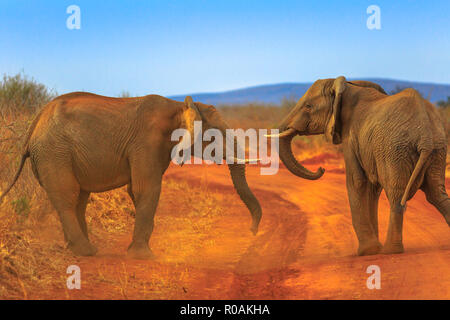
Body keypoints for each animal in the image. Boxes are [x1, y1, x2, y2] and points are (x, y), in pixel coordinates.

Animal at [0, 92, 262, 258]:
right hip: (54, 152)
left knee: (79, 199)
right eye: (215, 134)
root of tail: (34, 125)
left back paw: (78, 249)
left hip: (55, 154)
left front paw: (136, 250)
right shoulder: (147, 142)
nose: (252, 232)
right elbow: (147, 188)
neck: (179, 106)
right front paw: (143, 256)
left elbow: (136, 190)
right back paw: (86, 251)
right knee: (68, 197)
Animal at [270, 76, 450, 256]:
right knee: (436, 193)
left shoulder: (350, 138)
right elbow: (372, 188)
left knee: (397, 196)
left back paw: (390, 250)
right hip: (436, 149)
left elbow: (356, 181)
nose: (321, 169)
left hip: (395, 150)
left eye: (308, 106)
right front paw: (374, 248)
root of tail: (425, 136)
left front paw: (368, 251)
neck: (347, 86)